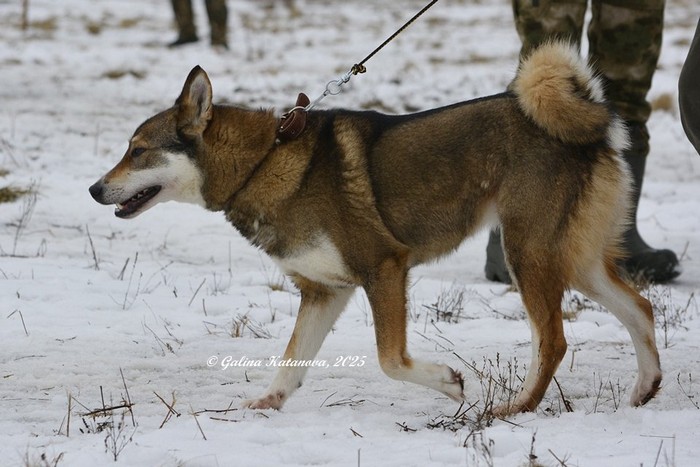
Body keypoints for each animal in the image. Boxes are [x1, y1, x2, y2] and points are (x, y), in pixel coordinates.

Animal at [89, 42, 661, 415]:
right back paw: (645, 388)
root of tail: (593, 124)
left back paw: (514, 407)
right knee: (640, 308)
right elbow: (291, 361)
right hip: (575, 259)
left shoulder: (384, 269)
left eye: (137, 151)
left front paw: (449, 383)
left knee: (555, 341)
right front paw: (269, 402)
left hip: (529, 255)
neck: (262, 161)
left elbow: (390, 361)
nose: (94, 189)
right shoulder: (324, 291)